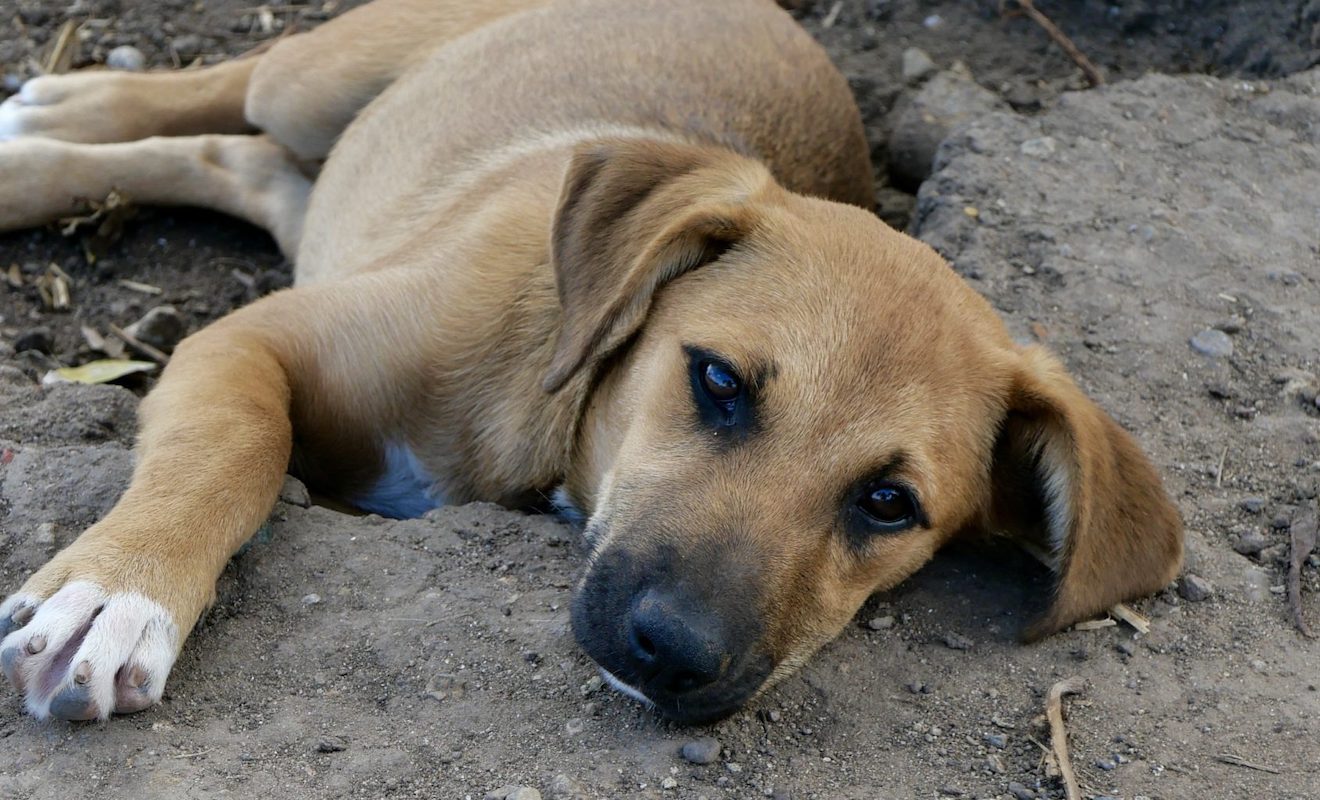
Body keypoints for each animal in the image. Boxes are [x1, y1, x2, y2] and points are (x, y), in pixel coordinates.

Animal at [0, 0, 1188, 728]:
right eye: (717, 382)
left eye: (890, 503)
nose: (674, 654)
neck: (550, 410)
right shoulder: (248, 340)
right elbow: (233, 447)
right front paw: (118, 593)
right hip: (322, 72)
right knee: (228, 92)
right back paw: (56, 113)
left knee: (232, 159)